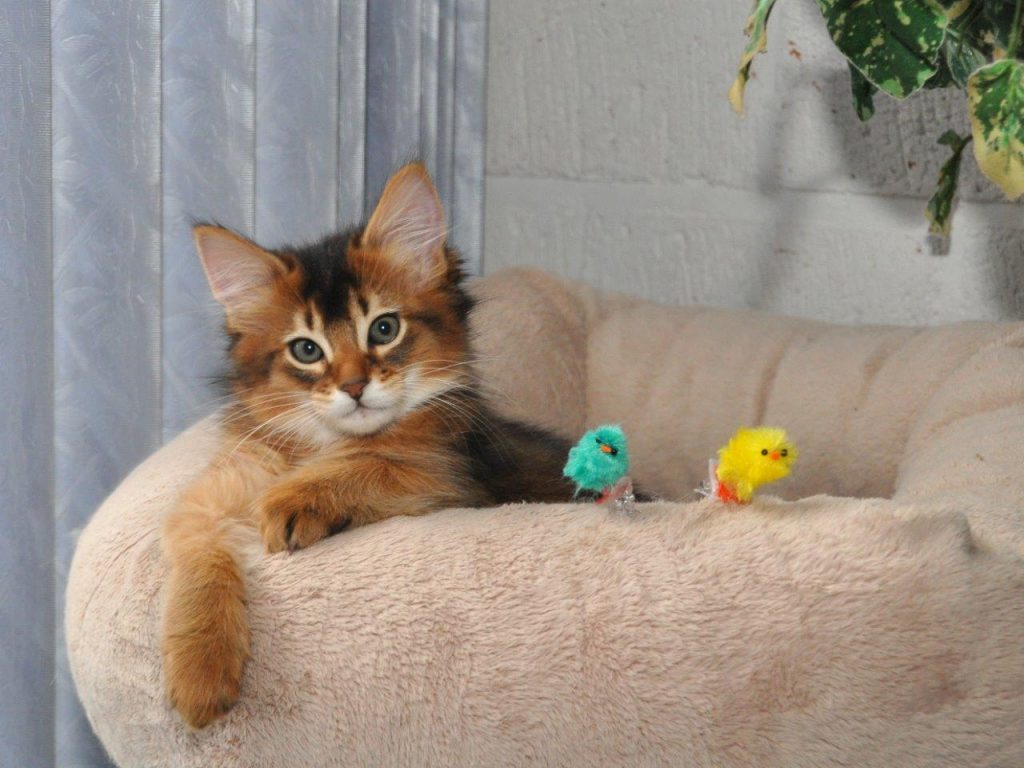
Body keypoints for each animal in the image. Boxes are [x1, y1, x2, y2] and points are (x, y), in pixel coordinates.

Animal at [161, 163, 576, 729]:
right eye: (306, 350)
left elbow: (375, 465)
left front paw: (294, 500)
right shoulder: (211, 498)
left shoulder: (448, 477)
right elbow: (199, 559)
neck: (317, 447)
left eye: (384, 328)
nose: (355, 386)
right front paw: (199, 670)